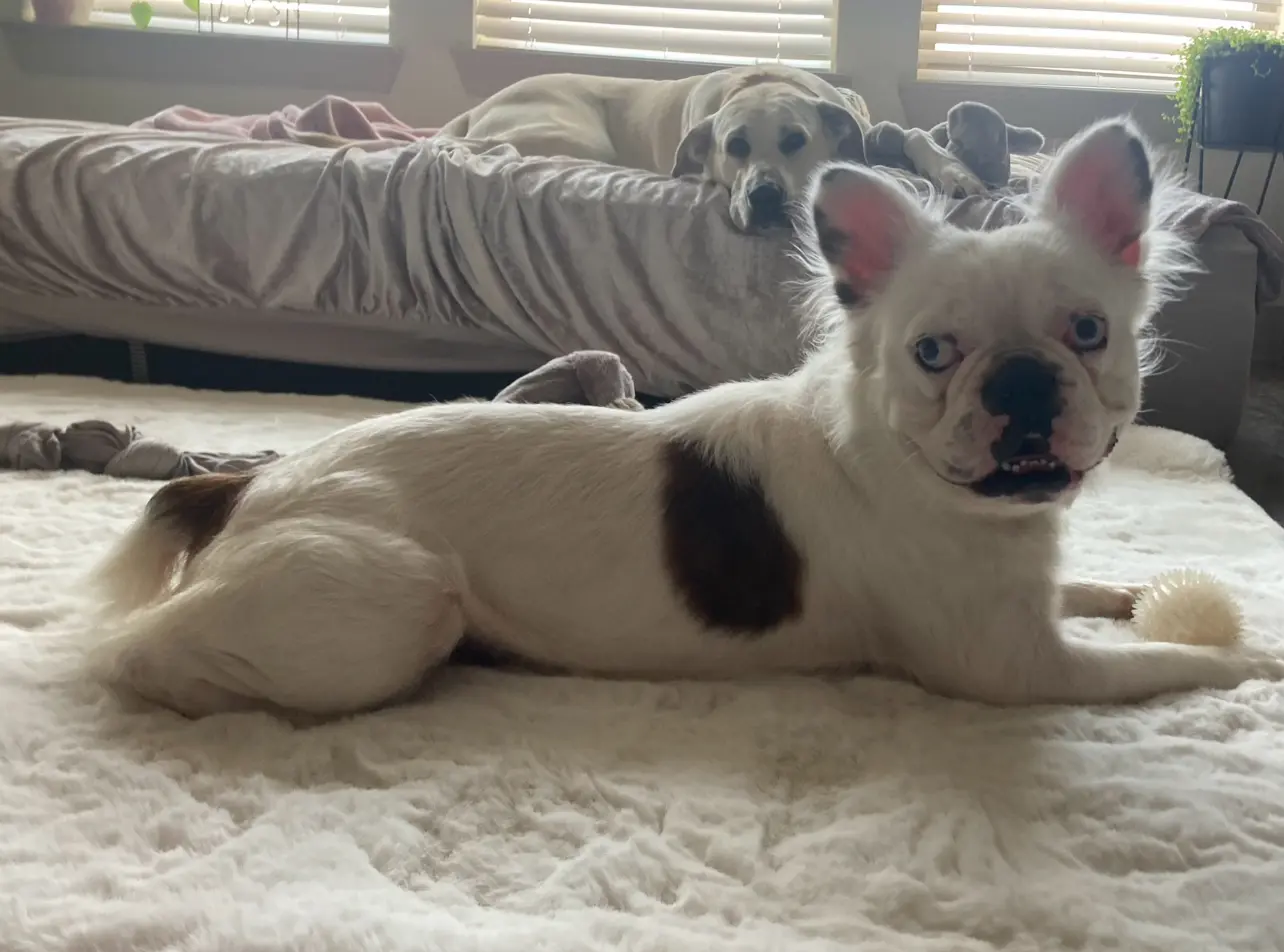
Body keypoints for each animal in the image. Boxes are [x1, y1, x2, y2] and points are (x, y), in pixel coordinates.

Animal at [441, 64, 980, 232]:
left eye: (795, 141)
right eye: (734, 146)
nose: (764, 197)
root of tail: (477, 108)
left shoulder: (872, 133)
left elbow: (912, 135)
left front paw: (958, 172)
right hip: (574, 138)